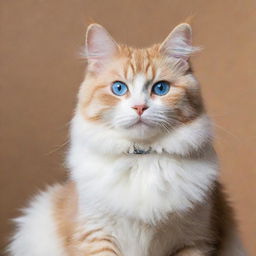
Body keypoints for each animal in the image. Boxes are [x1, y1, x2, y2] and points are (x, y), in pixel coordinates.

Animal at [7, 23, 246, 255]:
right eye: (119, 88)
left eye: (161, 88)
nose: (139, 107)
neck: (143, 158)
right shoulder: (96, 235)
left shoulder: (195, 239)